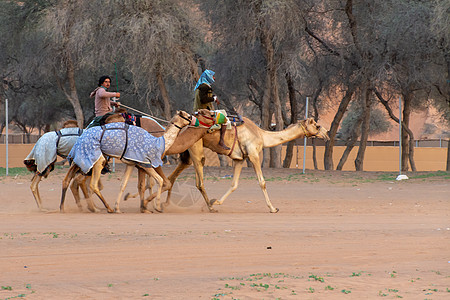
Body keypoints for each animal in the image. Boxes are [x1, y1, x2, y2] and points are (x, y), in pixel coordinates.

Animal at [160, 117, 328, 213]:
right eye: (317, 125)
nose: (326, 135)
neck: (262, 135)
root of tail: (184, 128)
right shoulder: (253, 155)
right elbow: (262, 182)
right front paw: (273, 208)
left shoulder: (239, 159)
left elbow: (234, 184)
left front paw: (218, 201)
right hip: (196, 148)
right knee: (199, 182)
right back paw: (210, 207)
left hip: (187, 152)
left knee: (174, 175)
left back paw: (165, 204)